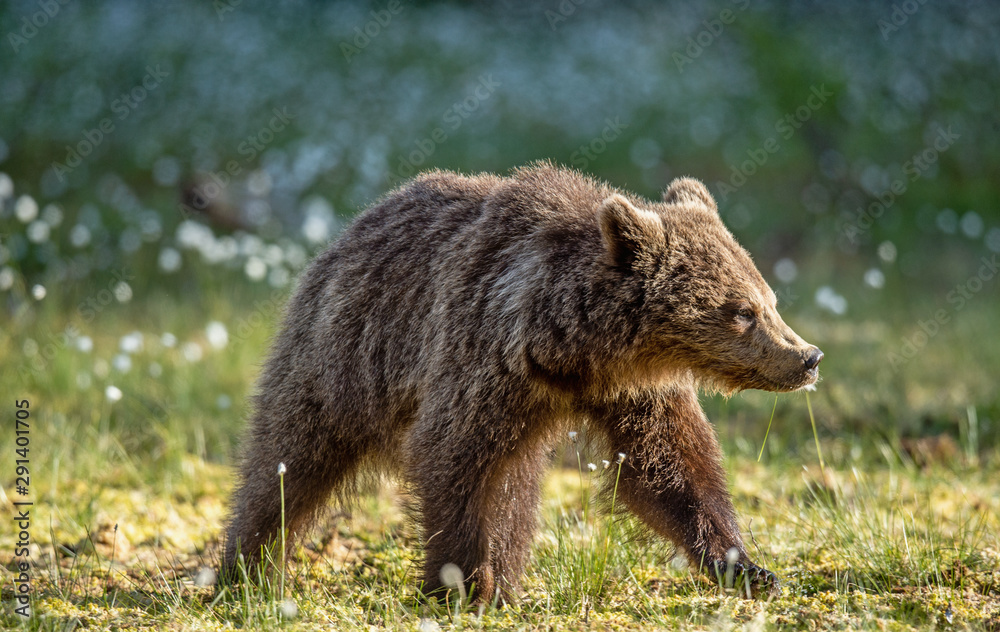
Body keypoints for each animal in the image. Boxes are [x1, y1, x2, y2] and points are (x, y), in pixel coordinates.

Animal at [222, 162, 823, 602]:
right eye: (742, 311)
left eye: (769, 299)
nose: (809, 357)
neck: (571, 352)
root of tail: (350, 228)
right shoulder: (481, 363)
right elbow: (453, 460)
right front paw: (461, 583)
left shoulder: (635, 393)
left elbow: (670, 469)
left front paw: (748, 568)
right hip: (345, 357)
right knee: (290, 461)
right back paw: (245, 568)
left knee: (515, 488)